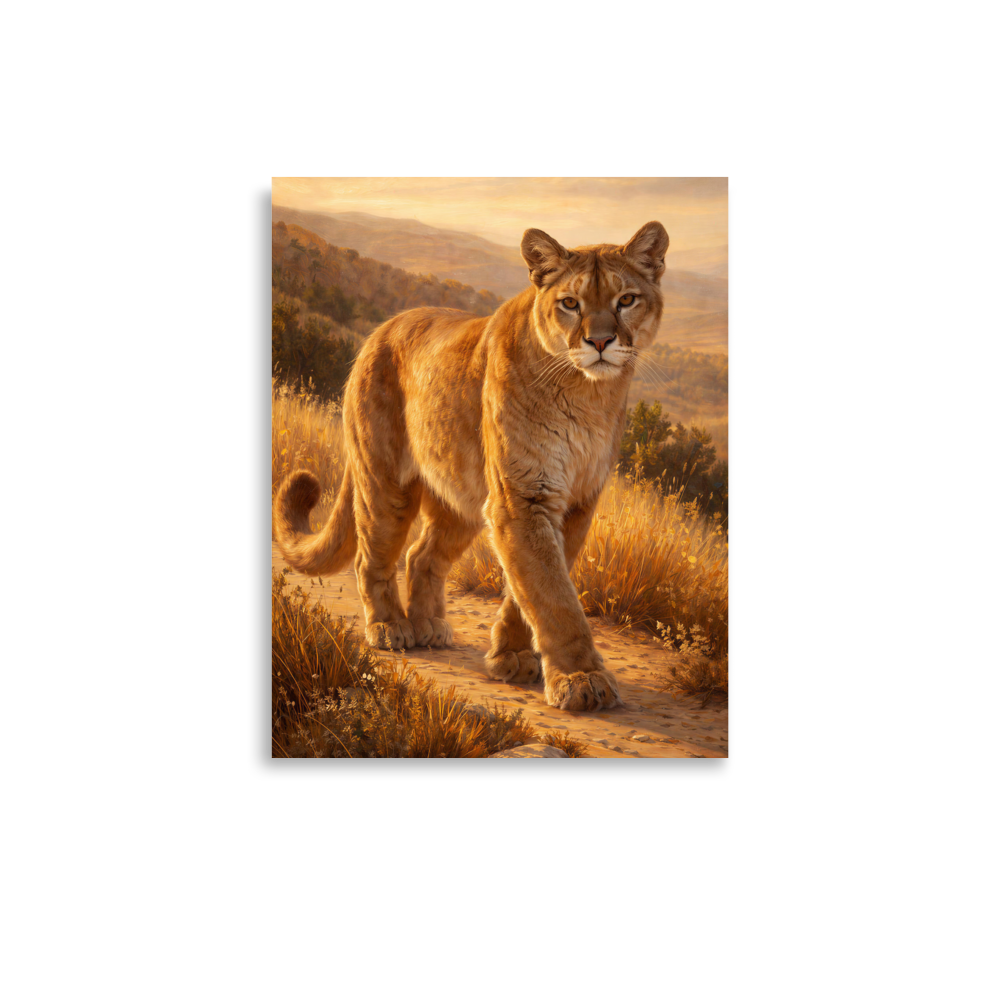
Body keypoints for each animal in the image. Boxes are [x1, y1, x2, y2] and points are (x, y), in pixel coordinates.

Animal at [274, 221, 668, 710]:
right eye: (570, 303)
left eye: (626, 300)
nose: (599, 342)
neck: (588, 394)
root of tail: (380, 330)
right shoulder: (523, 497)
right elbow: (554, 596)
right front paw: (582, 679)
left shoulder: (574, 502)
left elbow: (532, 587)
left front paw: (512, 657)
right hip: (386, 484)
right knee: (373, 557)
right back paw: (390, 628)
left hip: (459, 498)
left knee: (423, 556)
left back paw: (429, 627)